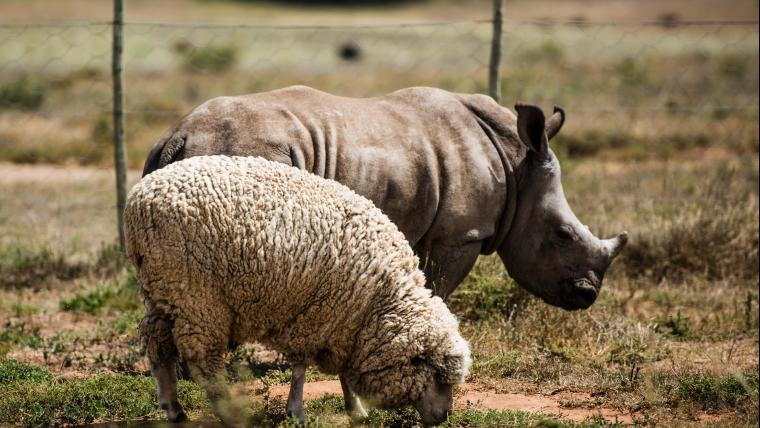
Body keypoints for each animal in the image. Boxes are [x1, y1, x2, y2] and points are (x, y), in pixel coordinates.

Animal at [124, 156, 470, 424]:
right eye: (438, 378)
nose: (444, 418)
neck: (380, 303)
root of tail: (139, 198)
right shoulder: (318, 316)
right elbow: (301, 368)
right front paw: (297, 411)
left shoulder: (344, 325)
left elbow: (343, 371)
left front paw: (355, 409)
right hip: (197, 295)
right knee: (202, 358)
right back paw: (227, 412)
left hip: (163, 289)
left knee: (158, 345)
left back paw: (173, 408)